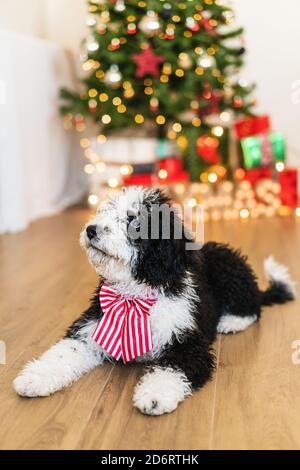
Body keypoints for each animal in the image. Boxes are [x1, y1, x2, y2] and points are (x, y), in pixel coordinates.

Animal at [13, 187, 296, 414]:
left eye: (132, 220)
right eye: (108, 210)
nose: (91, 230)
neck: (134, 296)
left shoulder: (188, 346)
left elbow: (170, 370)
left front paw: (155, 396)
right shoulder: (91, 329)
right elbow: (63, 352)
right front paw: (35, 377)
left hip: (229, 271)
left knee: (252, 307)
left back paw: (231, 322)